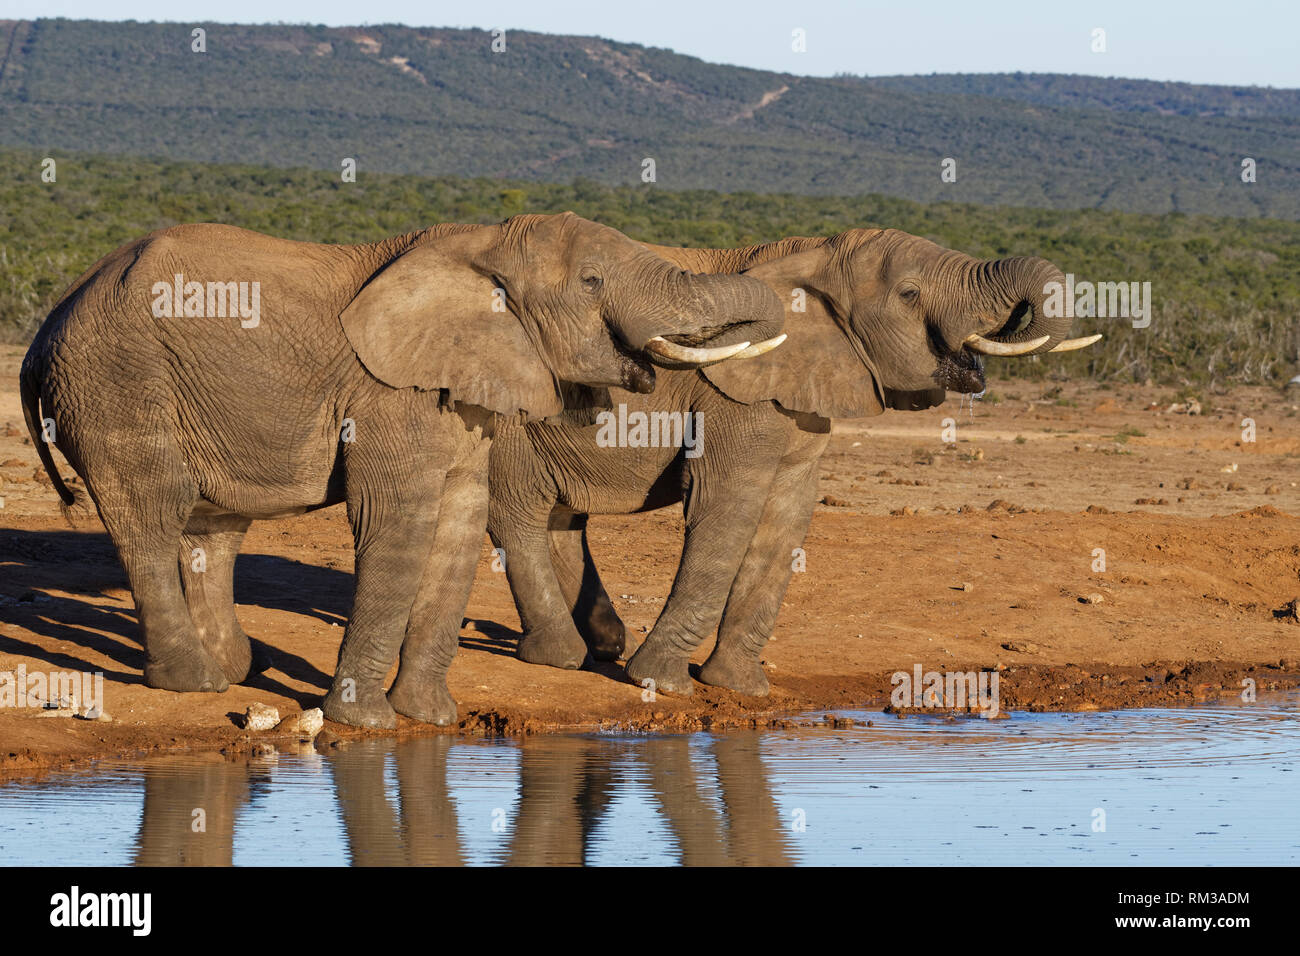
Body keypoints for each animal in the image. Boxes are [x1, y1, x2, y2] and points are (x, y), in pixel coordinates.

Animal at [19, 212, 787, 728]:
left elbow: (460, 518)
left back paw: (239, 670)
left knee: (214, 527)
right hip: (114, 382)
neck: (481, 245)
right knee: (150, 516)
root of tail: (48, 325)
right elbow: (398, 521)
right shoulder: (389, 394)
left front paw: (431, 719)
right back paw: (194, 685)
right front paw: (367, 725)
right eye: (593, 281)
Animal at [485, 227, 1101, 696]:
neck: (814, 254)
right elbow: (726, 511)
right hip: (510, 412)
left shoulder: (801, 402)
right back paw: (565, 653)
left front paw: (740, 687)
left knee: (560, 518)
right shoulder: (735, 396)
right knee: (519, 509)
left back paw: (602, 646)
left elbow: (785, 520)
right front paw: (662, 683)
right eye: (909, 293)